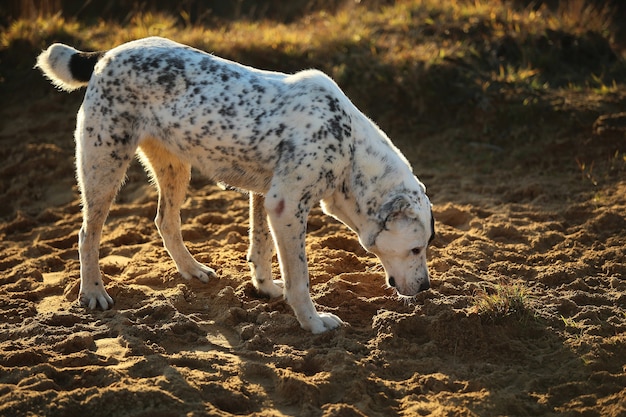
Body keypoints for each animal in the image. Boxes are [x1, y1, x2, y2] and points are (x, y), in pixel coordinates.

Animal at [35, 37, 434, 334]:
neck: (347, 146)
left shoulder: (267, 198)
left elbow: (260, 248)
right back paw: (93, 293)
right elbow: (299, 278)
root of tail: (104, 55)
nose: (427, 288)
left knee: (165, 221)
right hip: (104, 166)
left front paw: (265, 288)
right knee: (87, 234)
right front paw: (314, 323)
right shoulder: (287, 205)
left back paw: (192, 270)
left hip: (174, 168)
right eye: (416, 248)